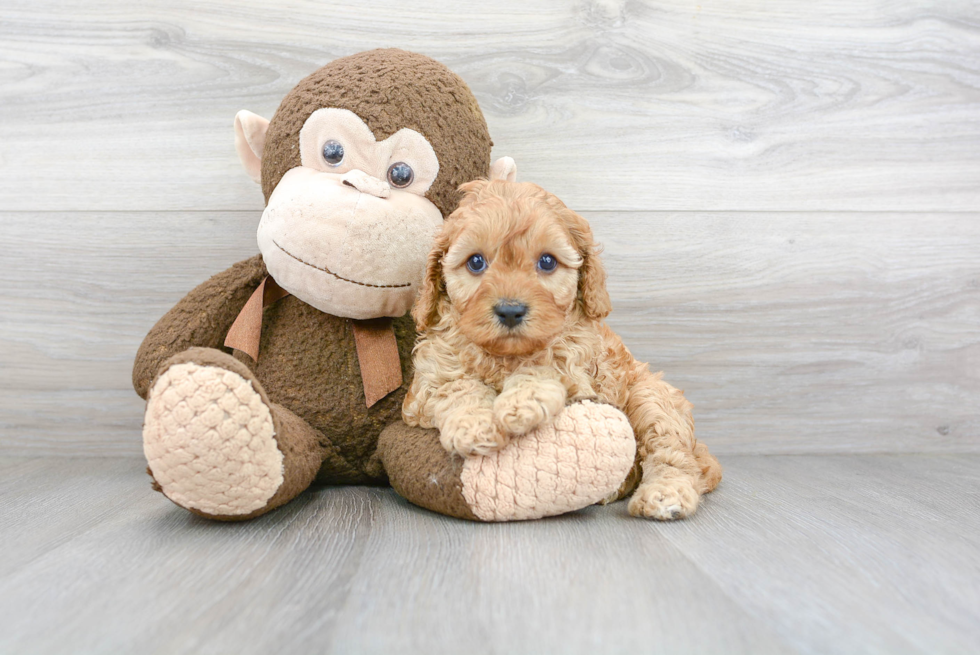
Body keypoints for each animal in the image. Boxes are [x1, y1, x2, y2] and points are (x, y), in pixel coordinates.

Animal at [402, 181, 724, 524]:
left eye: (547, 262)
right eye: (476, 262)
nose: (510, 311)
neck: (505, 355)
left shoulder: (582, 377)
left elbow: (548, 364)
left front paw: (522, 401)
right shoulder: (424, 388)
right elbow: (456, 387)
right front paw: (475, 426)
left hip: (651, 398)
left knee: (673, 457)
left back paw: (664, 495)